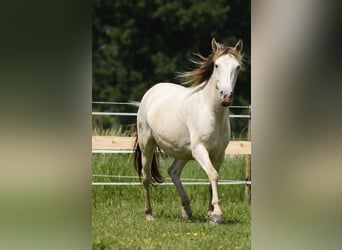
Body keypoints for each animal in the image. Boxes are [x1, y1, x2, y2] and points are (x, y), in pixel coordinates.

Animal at [134, 38, 243, 224]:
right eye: (216, 65)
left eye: (237, 67)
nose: (226, 96)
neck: (211, 111)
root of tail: (152, 90)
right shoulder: (199, 149)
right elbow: (213, 175)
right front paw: (217, 214)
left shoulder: (219, 154)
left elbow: (213, 178)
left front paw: (210, 214)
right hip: (147, 144)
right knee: (146, 176)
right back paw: (149, 214)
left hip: (183, 151)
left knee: (173, 172)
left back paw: (187, 211)